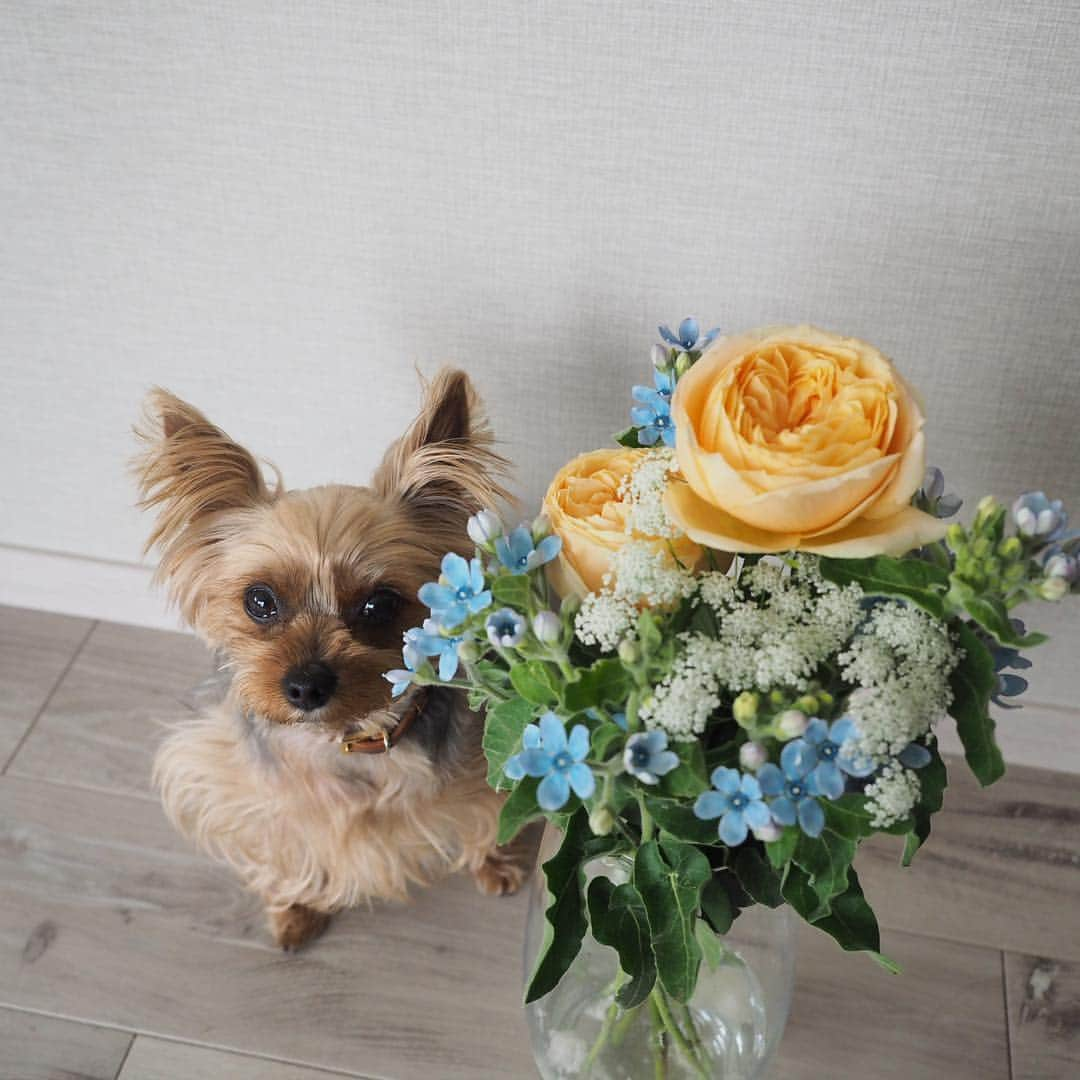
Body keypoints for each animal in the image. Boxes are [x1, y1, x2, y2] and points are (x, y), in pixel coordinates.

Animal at [137, 369, 533, 946]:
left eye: (379, 604)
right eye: (259, 600)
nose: (305, 687)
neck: (348, 739)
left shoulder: (482, 767)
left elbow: (486, 816)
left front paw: (494, 864)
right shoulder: (243, 792)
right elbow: (283, 848)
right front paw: (294, 908)